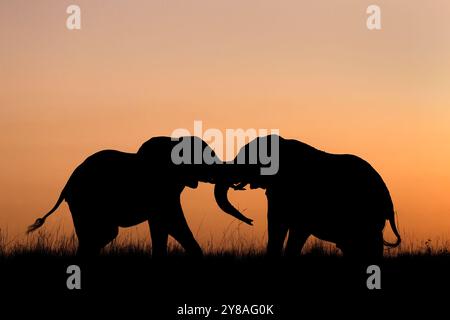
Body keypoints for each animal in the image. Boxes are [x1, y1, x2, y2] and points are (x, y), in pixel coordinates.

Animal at [27, 136, 253, 256]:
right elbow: (173, 222)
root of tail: (66, 185)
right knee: (102, 235)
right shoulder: (161, 187)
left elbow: (161, 226)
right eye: (205, 159)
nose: (251, 221)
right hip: (86, 202)